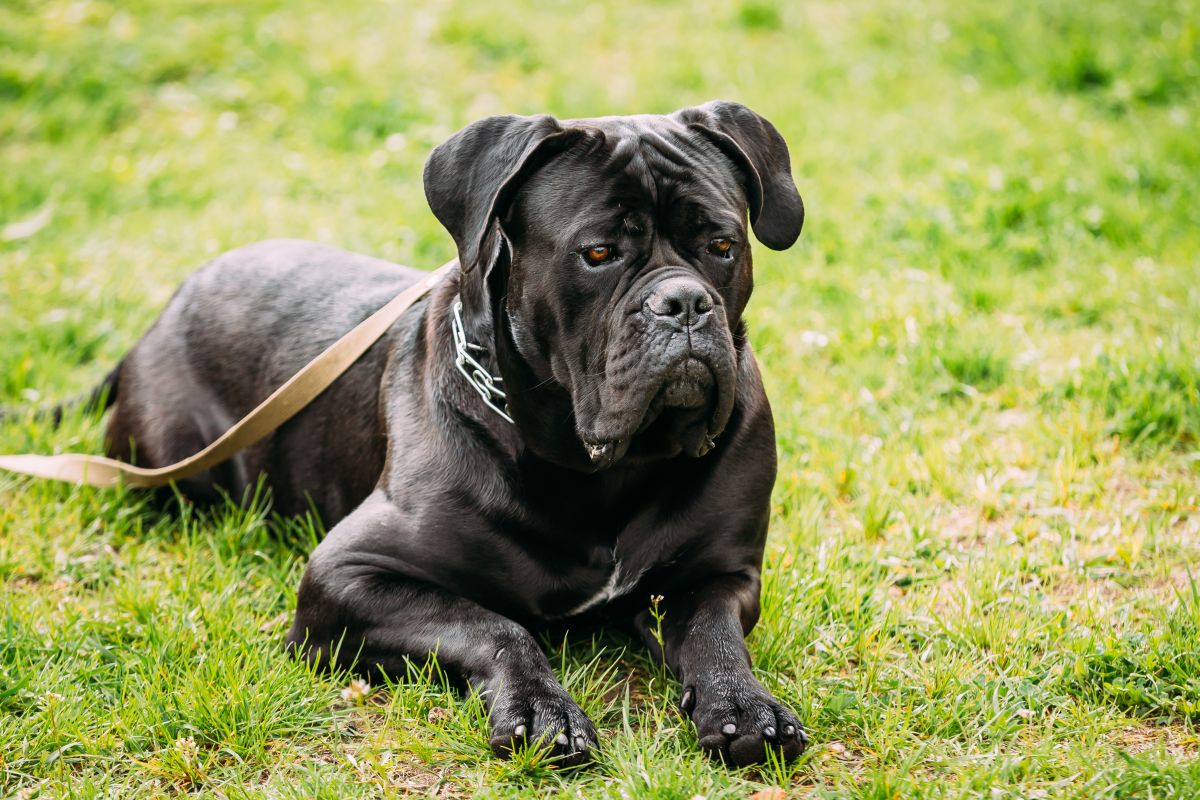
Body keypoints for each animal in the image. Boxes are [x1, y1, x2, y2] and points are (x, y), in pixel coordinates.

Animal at [84, 103, 806, 767]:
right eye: (598, 253)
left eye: (722, 245)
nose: (683, 303)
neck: (600, 468)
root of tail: (165, 310)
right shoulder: (346, 576)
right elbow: (494, 624)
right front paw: (542, 710)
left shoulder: (722, 573)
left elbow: (714, 635)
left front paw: (744, 706)